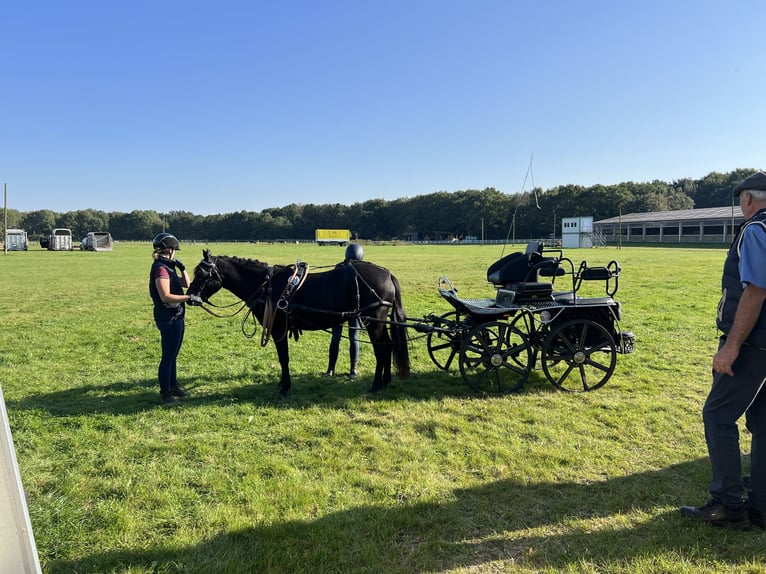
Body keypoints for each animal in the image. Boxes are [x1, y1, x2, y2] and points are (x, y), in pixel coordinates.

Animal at [187, 250, 412, 398]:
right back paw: (385, 381)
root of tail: (387, 274)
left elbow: (283, 358)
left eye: (202, 274)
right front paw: (282, 383)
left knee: (382, 349)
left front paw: (285, 386)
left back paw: (376, 385)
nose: (190, 297)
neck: (267, 286)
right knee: (388, 346)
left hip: (373, 322)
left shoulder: (278, 329)